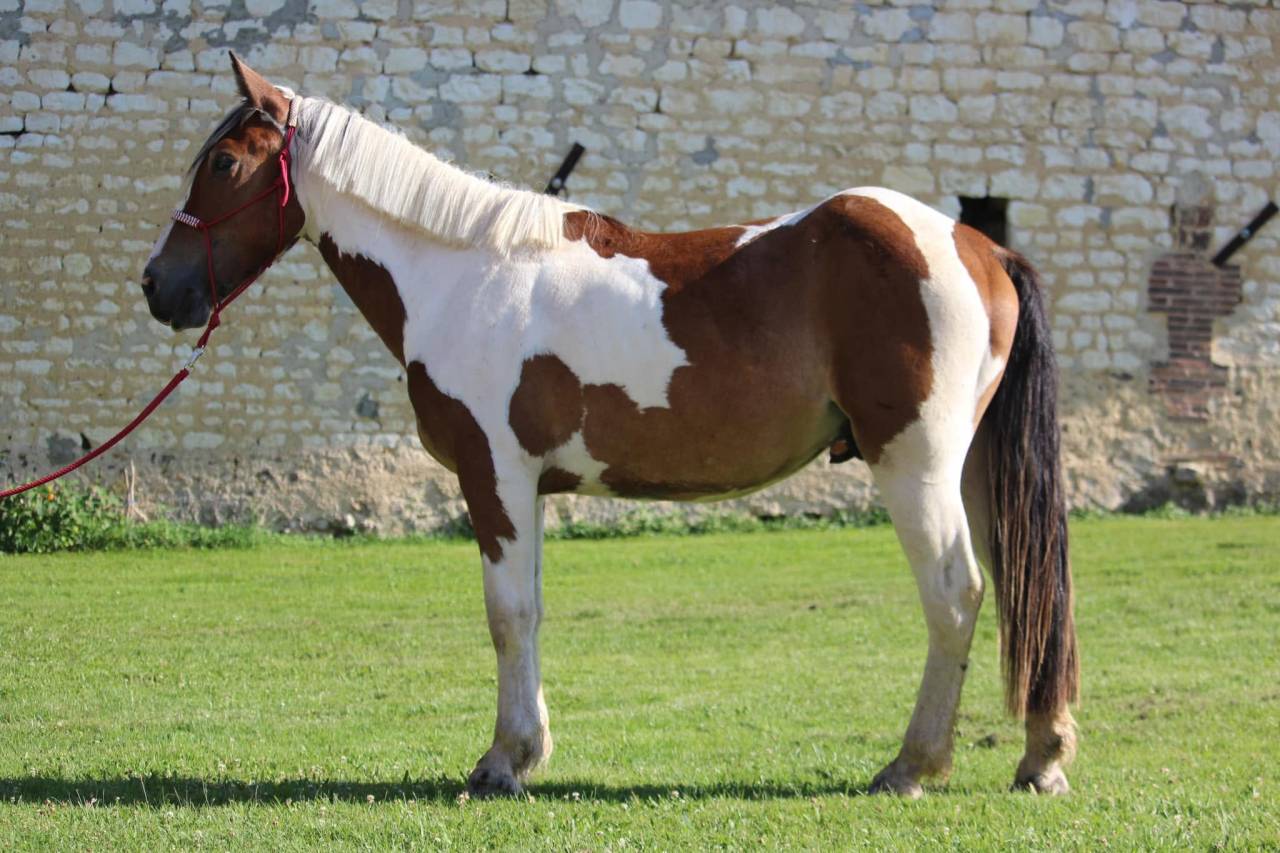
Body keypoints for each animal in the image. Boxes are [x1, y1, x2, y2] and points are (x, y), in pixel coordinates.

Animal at [141, 55, 1079, 799]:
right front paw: (526, 752)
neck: (461, 273)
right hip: (973, 469)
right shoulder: (523, 487)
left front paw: (503, 761)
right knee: (1020, 584)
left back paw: (911, 765)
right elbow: (530, 610)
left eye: (223, 161)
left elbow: (508, 613)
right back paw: (1041, 756)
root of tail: (979, 245)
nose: (157, 285)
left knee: (955, 592)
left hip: (914, 464)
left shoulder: (494, 476)